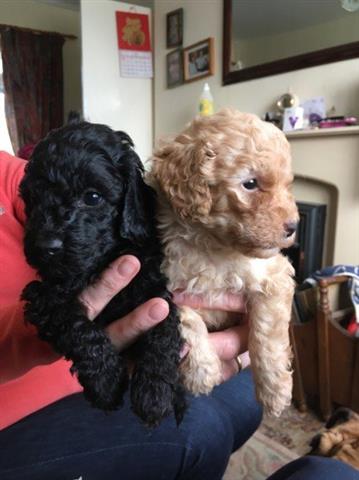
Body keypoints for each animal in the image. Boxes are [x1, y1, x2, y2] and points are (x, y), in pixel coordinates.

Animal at [20, 122, 186, 426]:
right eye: (33, 199)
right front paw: (105, 382)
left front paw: (155, 393)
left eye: (92, 197)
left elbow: (163, 330)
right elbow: (75, 325)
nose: (45, 246)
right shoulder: (42, 295)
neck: (100, 262)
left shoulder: (153, 287)